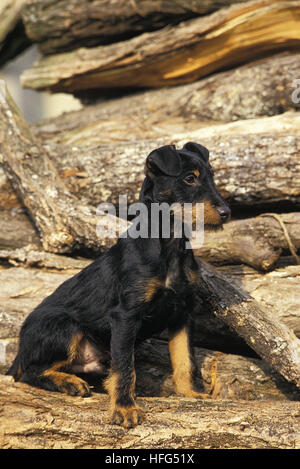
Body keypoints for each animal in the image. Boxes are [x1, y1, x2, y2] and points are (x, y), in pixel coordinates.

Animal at [7, 143, 232, 428]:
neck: (169, 244)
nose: (227, 214)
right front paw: (124, 408)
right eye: (189, 178)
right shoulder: (125, 316)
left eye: (212, 176)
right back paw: (68, 382)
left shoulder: (182, 314)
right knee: (28, 373)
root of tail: (20, 350)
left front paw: (191, 393)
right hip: (64, 327)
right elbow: (126, 368)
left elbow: (184, 360)